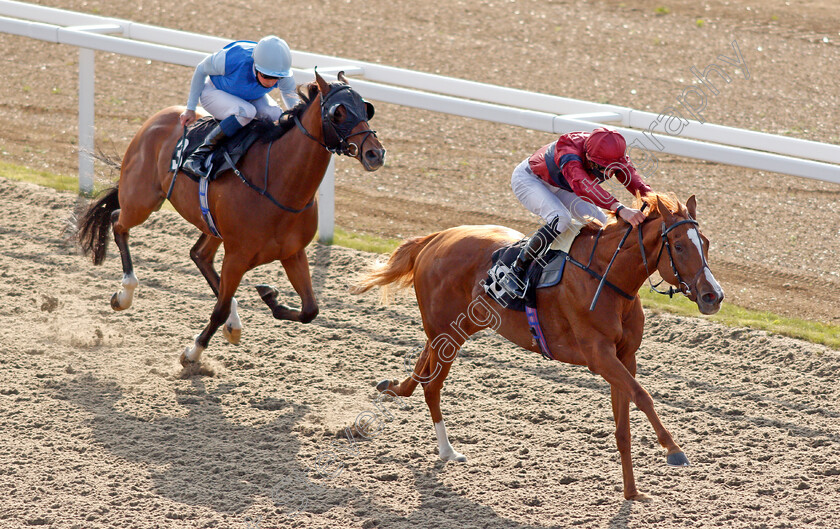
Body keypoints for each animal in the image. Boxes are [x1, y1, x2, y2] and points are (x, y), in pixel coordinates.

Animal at [75, 70, 384, 366]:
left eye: (366, 108)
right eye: (338, 112)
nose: (375, 153)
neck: (279, 183)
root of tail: (159, 116)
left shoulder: (292, 253)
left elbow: (310, 309)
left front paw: (270, 297)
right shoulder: (237, 255)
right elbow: (219, 310)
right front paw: (193, 353)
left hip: (209, 225)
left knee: (199, 255)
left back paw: (233, 323)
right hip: (142, 199)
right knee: (118, 220)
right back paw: (125, 294)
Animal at [354, 194, 720, 500]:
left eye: (705, 243)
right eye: (679, 246)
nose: (713, 295)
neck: (607, 277)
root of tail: (433, 239)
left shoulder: (624, 357)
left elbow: (623, 425)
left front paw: (632, 493)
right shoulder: (600, 356)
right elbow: (643, 396)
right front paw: (674, 451)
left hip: (454, 329)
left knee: (421, 368)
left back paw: (392, 389)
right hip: (447, 332)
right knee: (432, 386)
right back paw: (447, 450)